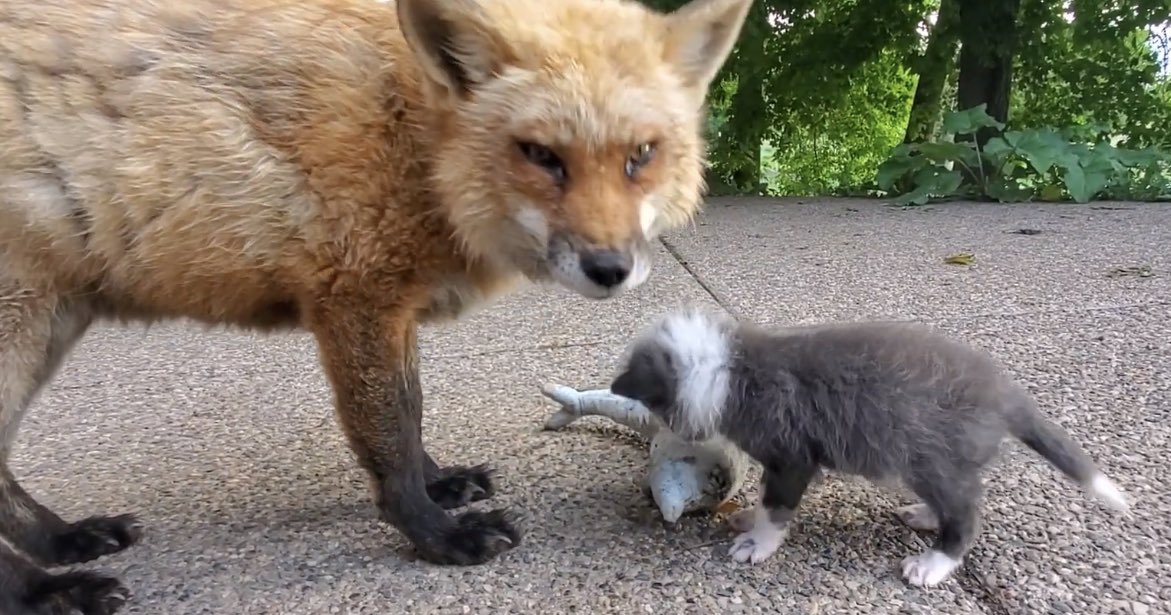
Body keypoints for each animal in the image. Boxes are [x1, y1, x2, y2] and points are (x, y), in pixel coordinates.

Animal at [0, 0, 754, 611]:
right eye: (540, 155)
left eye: (642, 154)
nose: (610, 269)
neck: (413, 133)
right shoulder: (354, 299)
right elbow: (390, 434)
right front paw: (435, 535)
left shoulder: (393, 307)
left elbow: (413, 419)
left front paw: (442, 486)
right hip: (24, 330)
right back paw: (45, 589)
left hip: (51, 326)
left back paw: (63, 540)